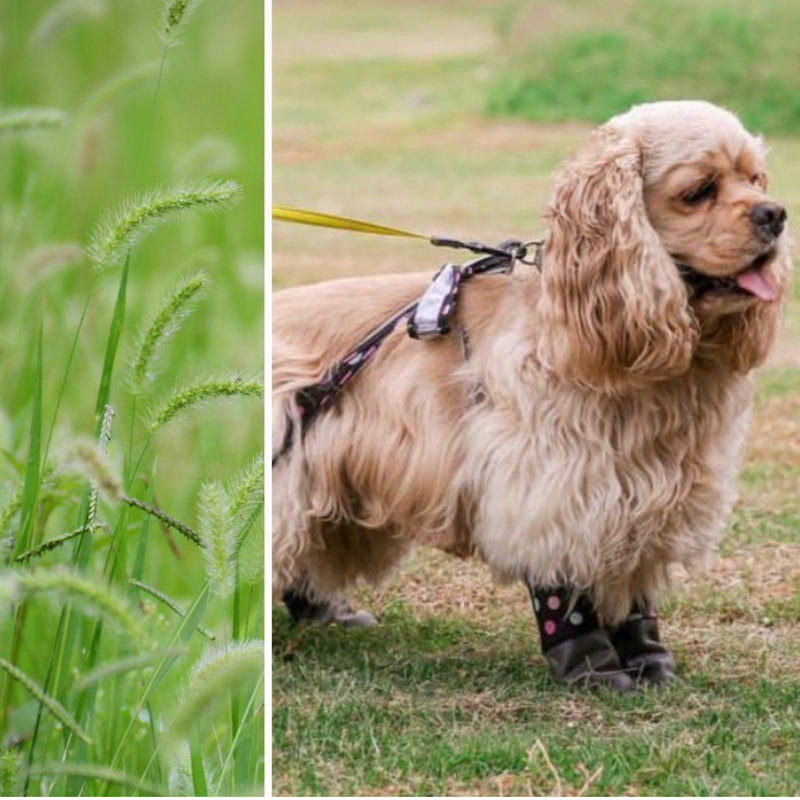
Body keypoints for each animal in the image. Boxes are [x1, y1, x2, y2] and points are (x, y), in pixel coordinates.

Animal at [272, 98, 792, 688]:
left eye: (755, 179)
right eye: (699, 190)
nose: (776, 215)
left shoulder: (651, 491)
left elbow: (631, 582)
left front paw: (647, 653)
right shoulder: (555, 483)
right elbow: (566, 579)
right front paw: (590, 663)